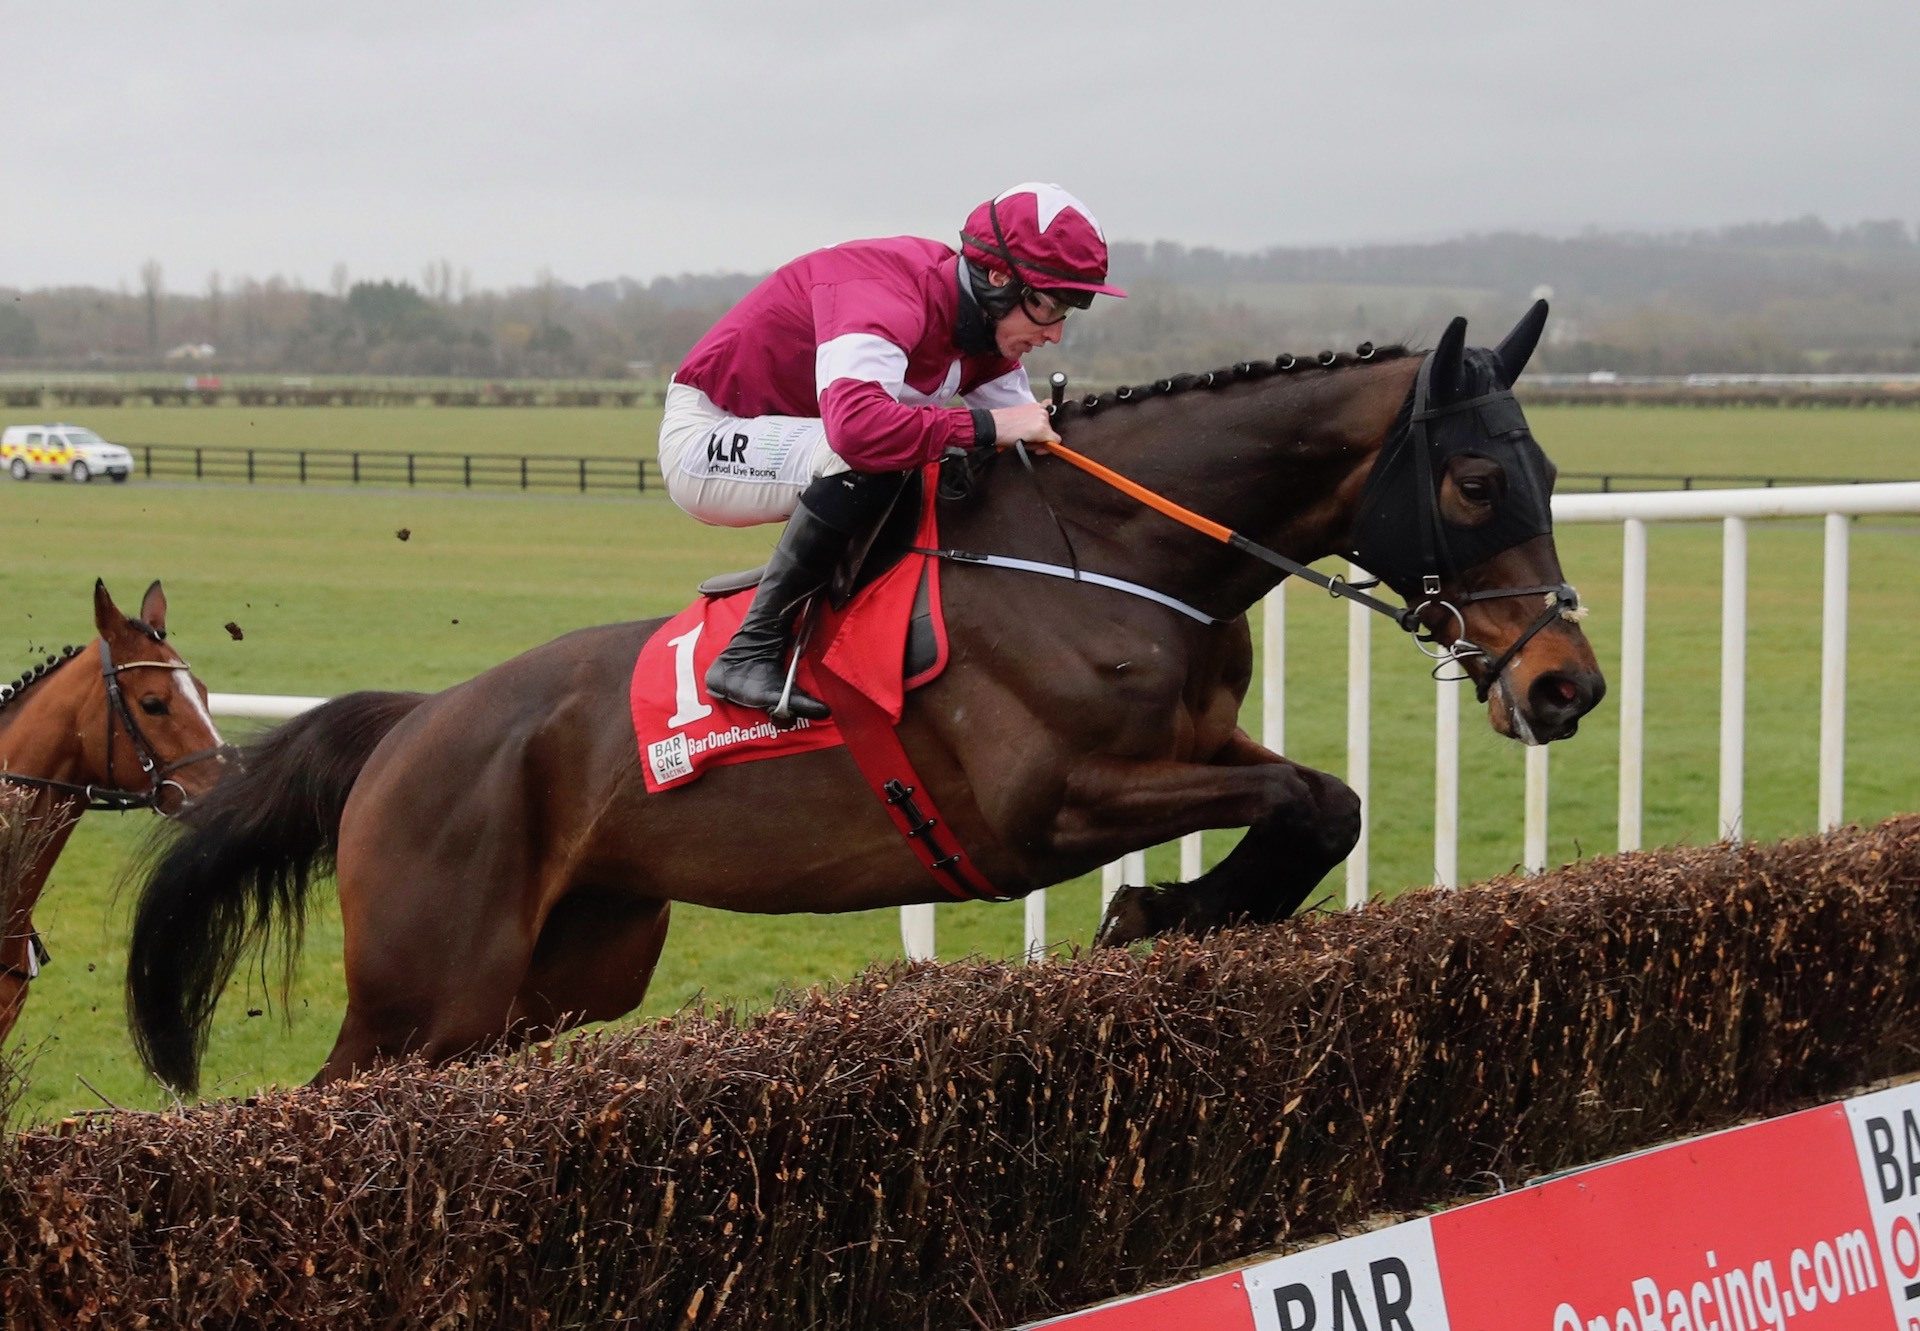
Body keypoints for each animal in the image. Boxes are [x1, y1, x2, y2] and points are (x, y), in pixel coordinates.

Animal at [127, 305, 1605, 1098]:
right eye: (1475, 482)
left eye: (1548, 469)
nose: (1567, 683)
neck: (1107, 551)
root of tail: (413, 724)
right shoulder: (1042, 806)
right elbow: (1299, 796)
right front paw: (1153, 908)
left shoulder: (1190, 744)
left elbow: (1325, 797)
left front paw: (1182, 908)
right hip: (424, 989)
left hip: (559, 977)